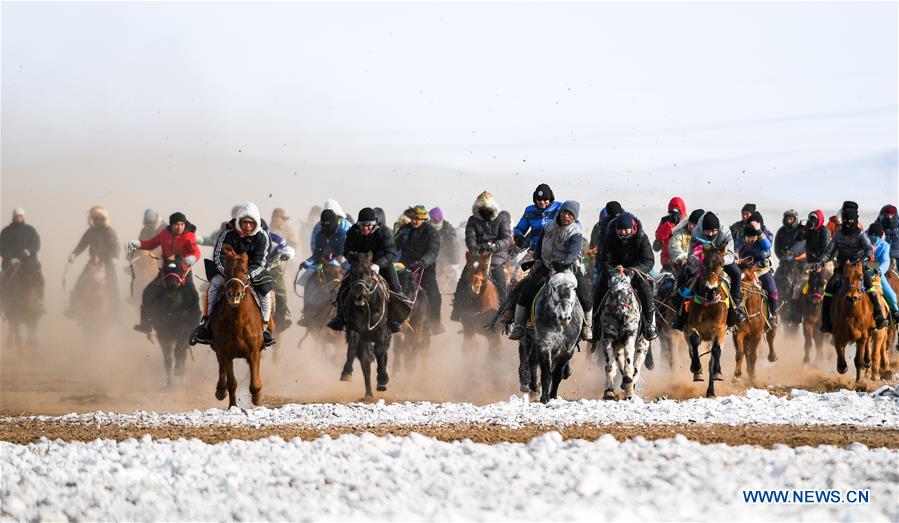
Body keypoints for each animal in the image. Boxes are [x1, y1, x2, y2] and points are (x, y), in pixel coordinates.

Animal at [151, 258, 200, 388]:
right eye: (165, 269)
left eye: (180, 269)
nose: (172, 286)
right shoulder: (163, 334)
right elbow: (168, 358)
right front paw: (169, 383)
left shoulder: (184, 332)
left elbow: (180, 351)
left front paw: (178, 371)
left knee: (182, 353)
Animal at [211, 246, 270, 410]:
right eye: (226, 271)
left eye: (244, 271)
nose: (234, 294)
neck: (238, 322)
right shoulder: (225, 353)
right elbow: (232, 383)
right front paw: (233, 406)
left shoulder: (254, 352)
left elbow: (255, 384)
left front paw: (257, 398)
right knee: (220, 366)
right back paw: (220, 390)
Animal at [600, 266, 652, 402]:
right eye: (611, 292)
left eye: (629, 291)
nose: (620, 309)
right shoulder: (609, 338)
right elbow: (610, 365)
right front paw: (609, 391)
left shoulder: (630, 334)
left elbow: (629, 361)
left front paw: (629, 388)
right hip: (618, 344)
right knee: (619, 361)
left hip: (643, 343)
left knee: (637, 365)